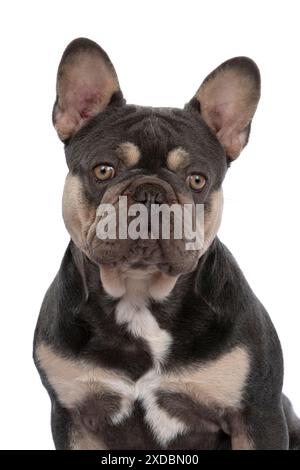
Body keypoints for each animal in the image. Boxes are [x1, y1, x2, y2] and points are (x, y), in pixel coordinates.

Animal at [33, 36, 300, 448]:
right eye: (104, 170)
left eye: (197, 180)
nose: (151, 193)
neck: (139, 294)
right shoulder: (74, 418)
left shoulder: (259, 415)